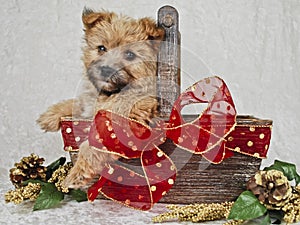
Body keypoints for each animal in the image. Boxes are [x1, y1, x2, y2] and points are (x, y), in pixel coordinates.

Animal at [37, 8, 165, 188]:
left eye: (129, 54)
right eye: (102, 48)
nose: (106, 69)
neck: (110, 94)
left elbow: (91, 145)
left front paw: (76, 174)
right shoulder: (88, 105)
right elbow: (77, 103)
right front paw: (50, 115)